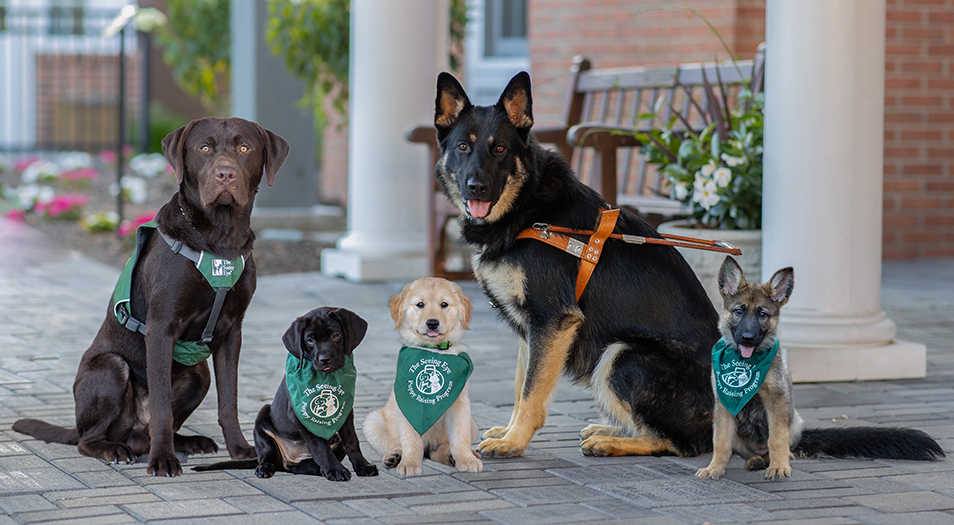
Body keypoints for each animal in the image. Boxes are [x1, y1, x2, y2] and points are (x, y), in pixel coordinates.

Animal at [13, 116, 286, 476]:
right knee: (91, 438)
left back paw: (188, 442)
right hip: (111, 367)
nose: (225, 174)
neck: (219, 238)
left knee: (164, 423)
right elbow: (160, 406)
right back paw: (116, 449)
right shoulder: (161, 327)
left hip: (199, 374)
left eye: (244, 148)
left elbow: (229, 401)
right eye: (204, 148)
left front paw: (241, 450)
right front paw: (163, 460)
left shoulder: (232, 331)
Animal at [195, 304, 378, 482]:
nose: (324, 359)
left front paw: (363, 466)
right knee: (268, 456)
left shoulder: (345, 411)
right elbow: (320, 445)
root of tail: (289, 458)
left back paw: (315, 468)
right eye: (310, 340)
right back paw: (265, 468)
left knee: (300, 466)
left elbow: (352, 440)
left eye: (335, 335)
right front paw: (335, 469)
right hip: (262, 420)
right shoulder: (300, 415)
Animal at [364, 278, 484, 474]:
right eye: (420, 304)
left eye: (444, 304)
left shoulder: (460, 406)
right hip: (372, 421)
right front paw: (410, 463)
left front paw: (466, 459)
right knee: (394, 443)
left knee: (440, 449)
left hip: (472, 423)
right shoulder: (406, 405)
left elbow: (460, 437)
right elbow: (410, 439)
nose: (432, 323)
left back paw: (452, 456)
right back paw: (394, 456)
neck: (433, 351)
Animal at [428, 71, 716, 456]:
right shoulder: (532, 329)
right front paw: (509, 432)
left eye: (499, 148)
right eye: (463, 147)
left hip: (620, 354)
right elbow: (521, 385)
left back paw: (611, 442)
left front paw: (514, 442)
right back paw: (608, 429)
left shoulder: (552, 322)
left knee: (674, 442)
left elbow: (532, 392)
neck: (529, 209)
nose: (477, 187)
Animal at [696, 256, 940, 482]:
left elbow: (776, 438)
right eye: (739, 311)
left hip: (793, 421)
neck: (745, 363)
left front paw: (779, 466)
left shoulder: (776, 399)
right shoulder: (723, 405)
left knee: (782, 445)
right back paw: (754, 460)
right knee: (744, 451)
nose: (747, 338)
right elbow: (721, 442)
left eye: (762, 314)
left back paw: (780, 459)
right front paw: (714, 468)